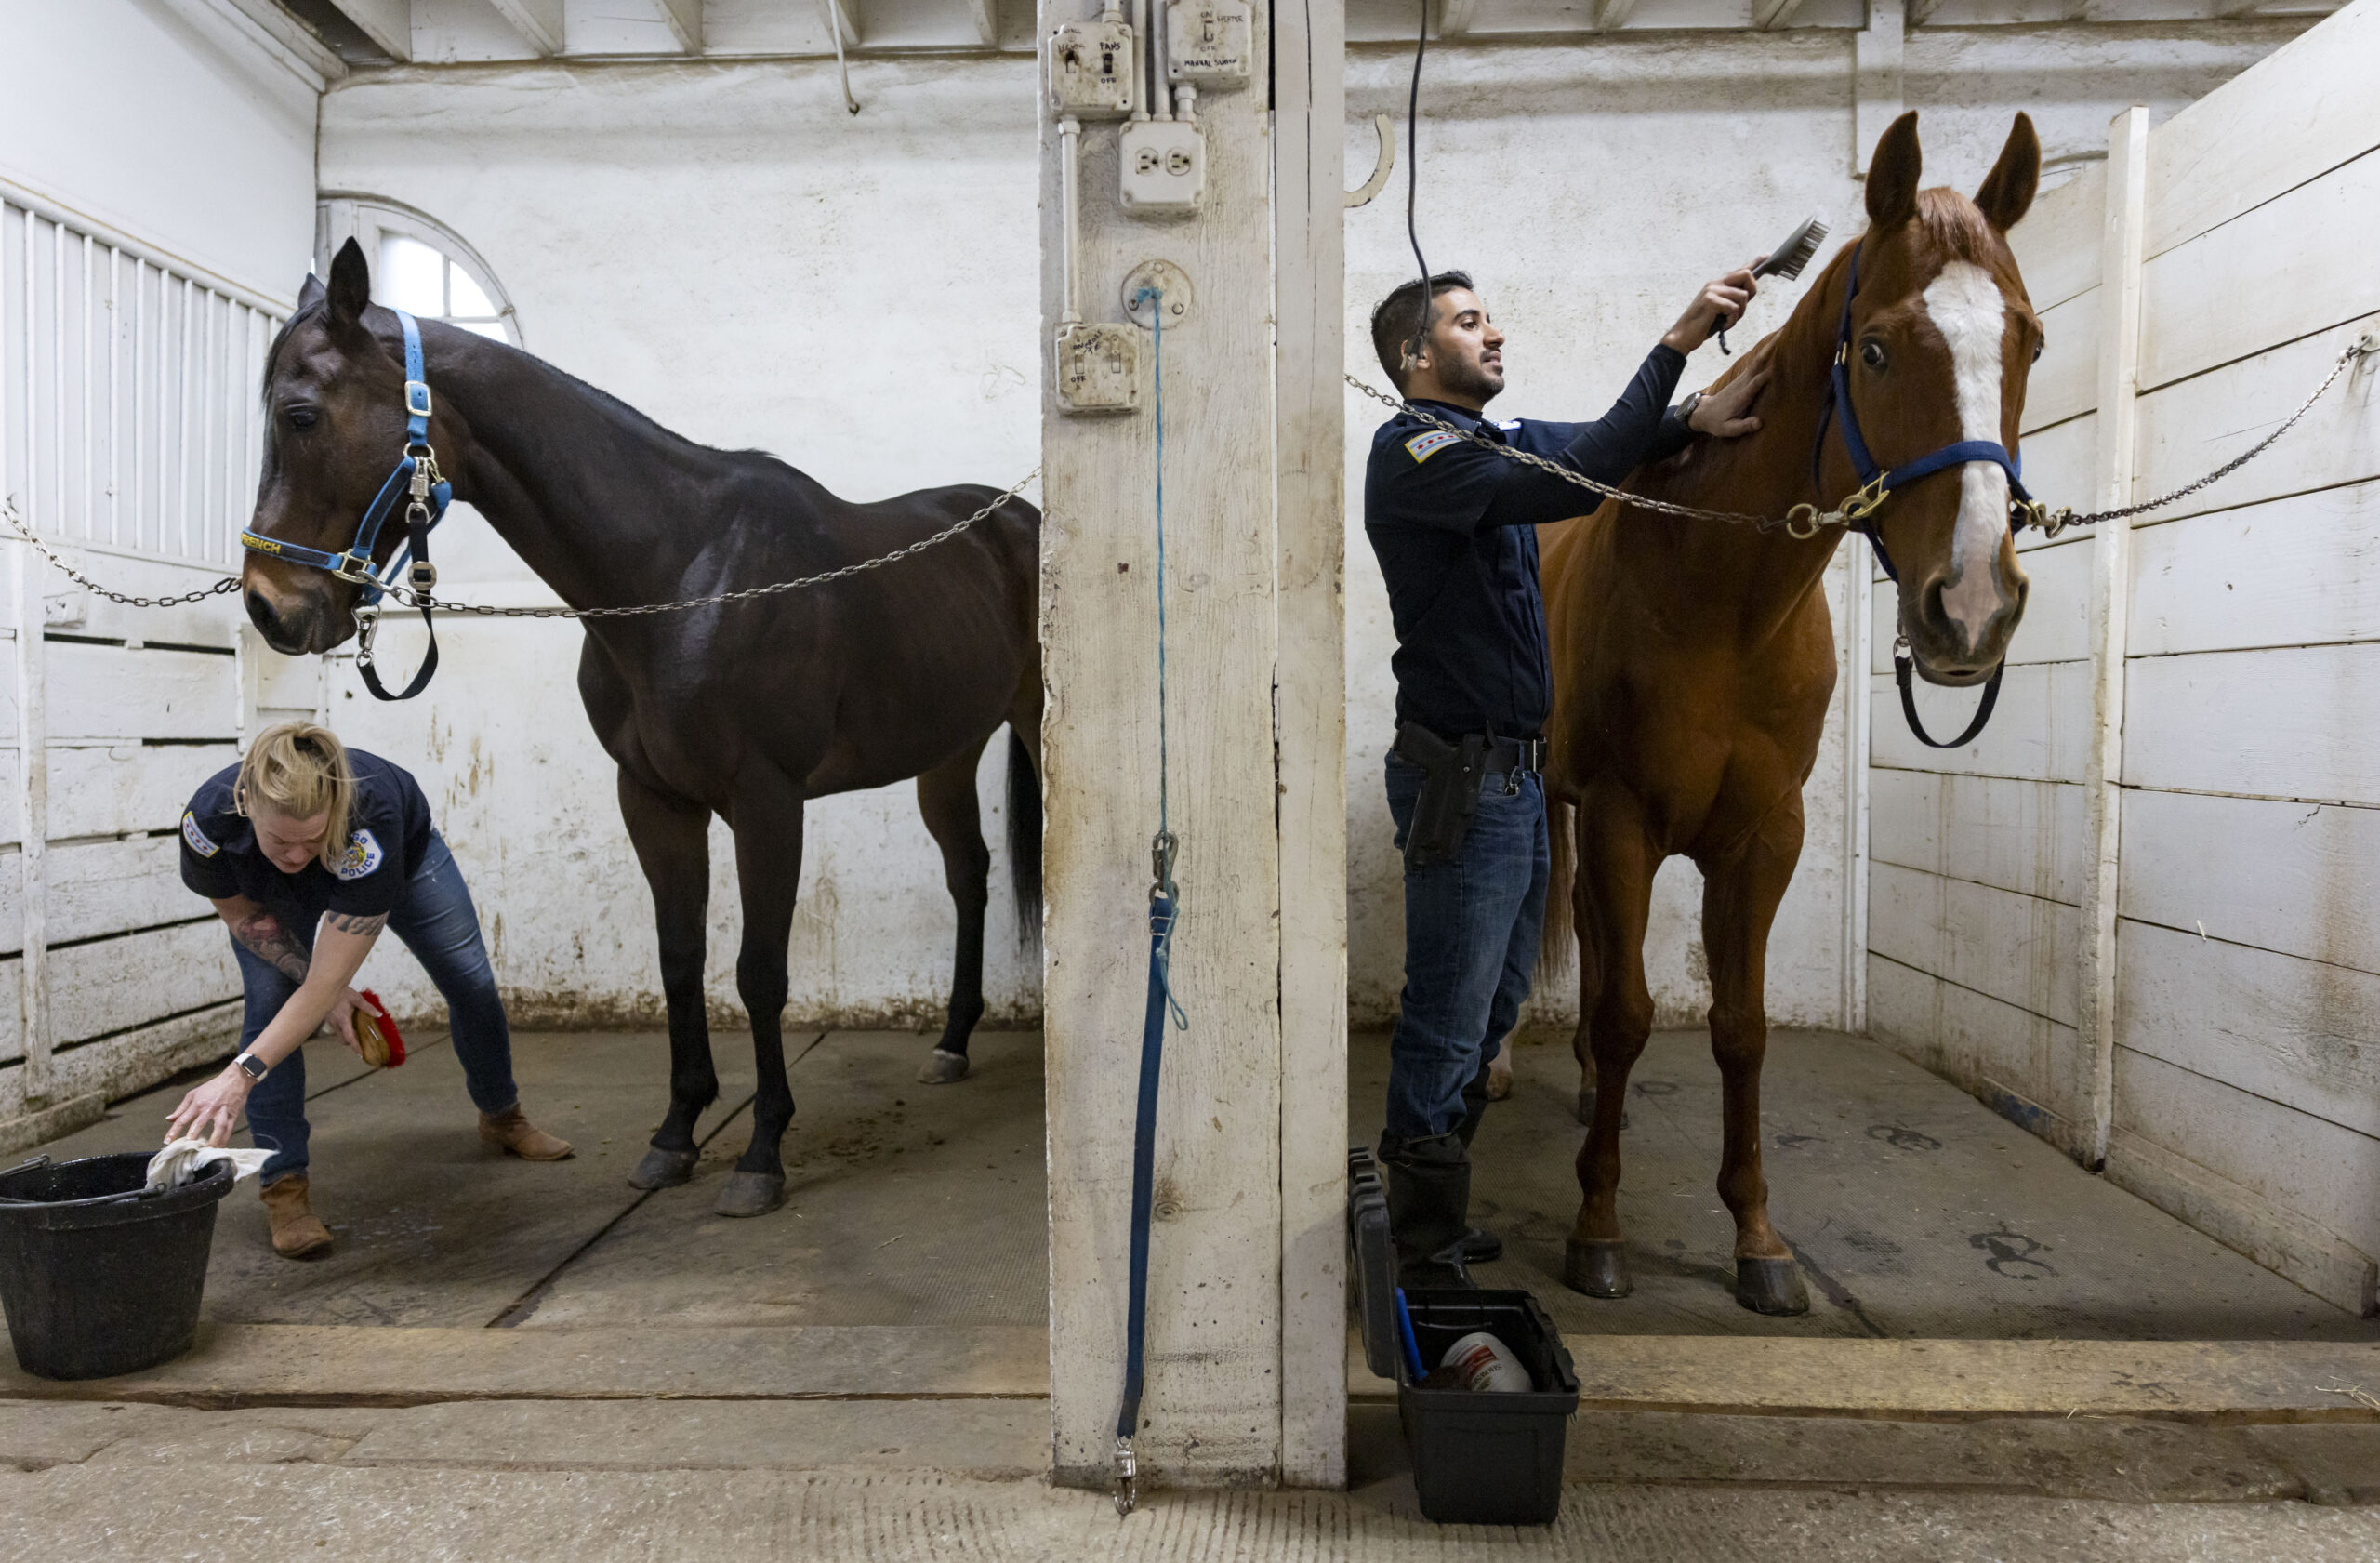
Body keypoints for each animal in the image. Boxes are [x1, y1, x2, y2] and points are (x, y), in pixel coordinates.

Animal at [239, 240, 1042, 1218]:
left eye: (302, 414)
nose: (269, 607)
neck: (682, 570)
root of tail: (1017, 515)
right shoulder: (653, 798)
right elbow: (679, 958)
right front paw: (675, 1135)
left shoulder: (767, 801)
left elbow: (758, 971)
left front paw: (761, 1153)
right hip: (948, 751)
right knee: (969, 875)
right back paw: (953, 1043)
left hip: (1031, 720)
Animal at [1541, 109, 2046, 1313]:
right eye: (1875, 349)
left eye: (2029, 342)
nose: (1971, 605)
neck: (1717, 599)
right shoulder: (1622, 815)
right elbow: (1629, 1014)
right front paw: (1597, 1225)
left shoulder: (1767, 833)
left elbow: (1741, 1027)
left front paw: (1758, 1238)